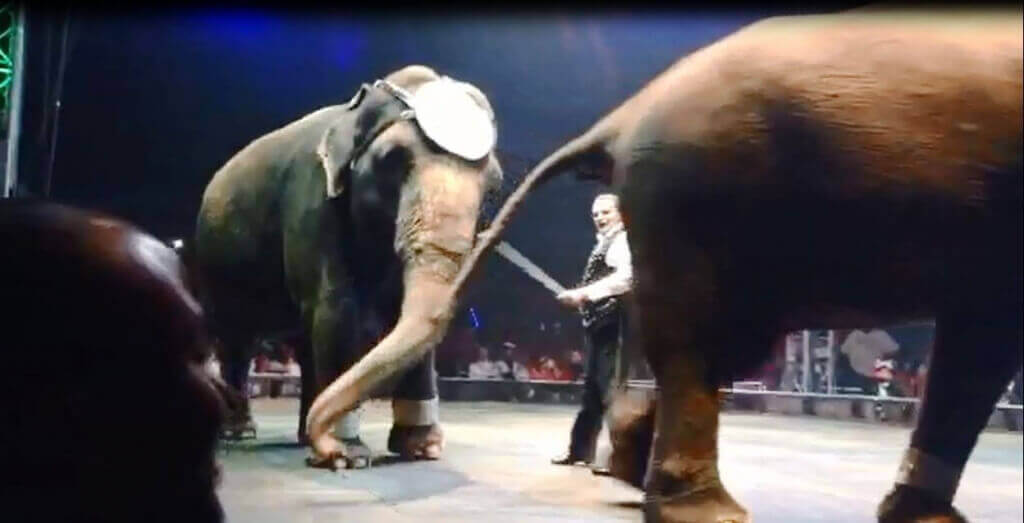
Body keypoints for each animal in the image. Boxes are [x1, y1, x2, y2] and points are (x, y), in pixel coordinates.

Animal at [193, 63, 501, 468]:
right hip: (216, 264)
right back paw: (241, 433)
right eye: (393, 160)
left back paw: (303, 435)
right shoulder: (312, 203)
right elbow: (339, 308)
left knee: (304, 340)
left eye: (493, 186)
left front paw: (421, 449)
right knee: (237, 339)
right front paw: (346, 456)